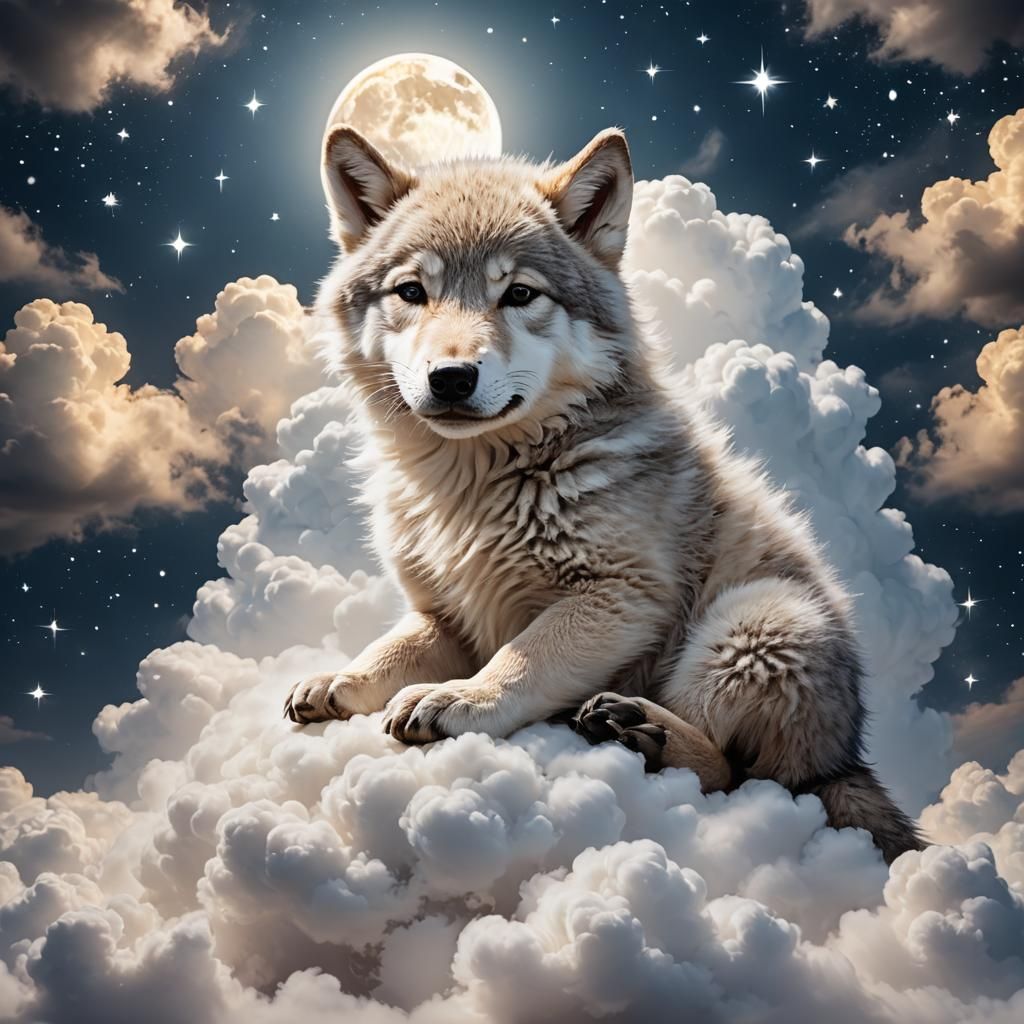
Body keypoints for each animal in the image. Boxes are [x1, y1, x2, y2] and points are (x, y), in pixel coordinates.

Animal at [284, 123, 925, 864]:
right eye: (412, 291)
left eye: (520, 294)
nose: (451, 377)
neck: (474, 485)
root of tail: (848, 757)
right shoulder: (444, 611)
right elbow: (390, 648)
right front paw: (340, 682)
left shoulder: (621, 595)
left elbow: (521, 657)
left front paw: (460, 698)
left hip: (755, 621)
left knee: (740, 773)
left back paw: (639, 730)